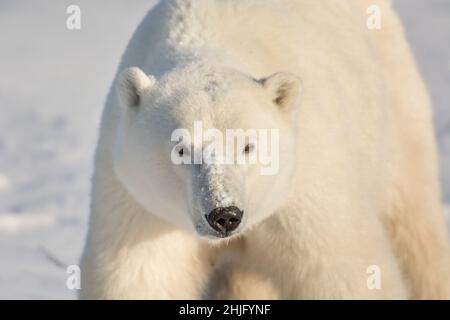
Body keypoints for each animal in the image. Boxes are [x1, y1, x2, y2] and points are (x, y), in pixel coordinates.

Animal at [81, 0, 450, 300]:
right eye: (181, 150)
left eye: (248, 146)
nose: (225, 215)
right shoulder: (139, 203)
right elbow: (140, 276)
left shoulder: (304, 188)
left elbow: (342, 271)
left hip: (394, 104)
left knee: (415, 224)